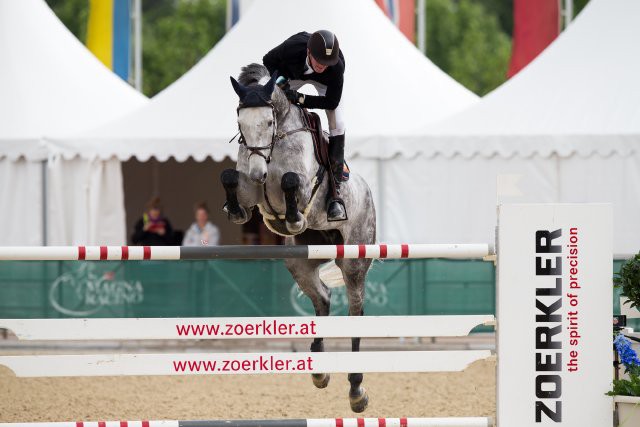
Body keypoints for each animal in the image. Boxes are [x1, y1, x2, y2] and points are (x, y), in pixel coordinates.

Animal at [222, 61, 378, 412]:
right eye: (240, 122)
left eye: (268, 121)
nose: (258, 173)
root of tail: (367, 193)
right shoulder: (251, 192)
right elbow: (230, 178)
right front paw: (235, 209)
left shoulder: (304, 187)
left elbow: (292, 181)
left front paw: (292, 217)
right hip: (300, 262)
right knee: (322, 298)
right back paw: (319, 370)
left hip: (353, 260)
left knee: (355, 310)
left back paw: (357, 390)